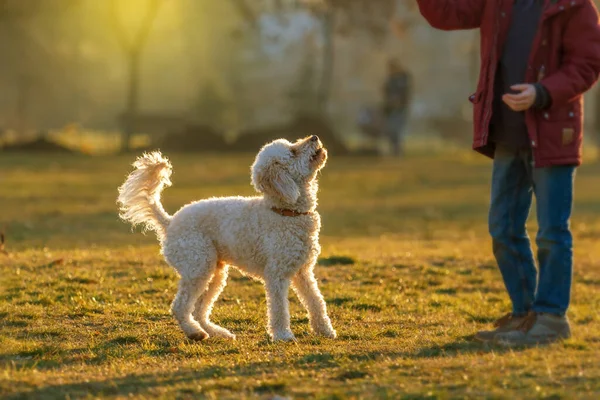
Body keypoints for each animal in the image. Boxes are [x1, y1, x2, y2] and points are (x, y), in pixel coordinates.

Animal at [116, 136, 332, 342]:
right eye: (293, 151)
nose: (314, 137)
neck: (285, 212)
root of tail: (169, 223)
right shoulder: (276, 275)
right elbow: (279, 309)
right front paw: (283, 335)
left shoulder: (303, 271)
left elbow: (316, 301)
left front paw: (324, 330)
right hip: (198, 267)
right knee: (180, 307)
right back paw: (195, 333)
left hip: (215, 272)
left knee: (199, 310)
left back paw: (216, 332)